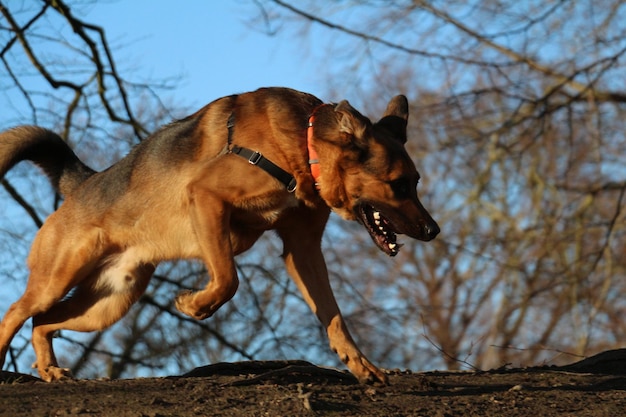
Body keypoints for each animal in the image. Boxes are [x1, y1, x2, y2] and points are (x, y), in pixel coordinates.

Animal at [0, 88, 438, 384]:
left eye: (416, 182)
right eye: (400, 185)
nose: (433, 231)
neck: (304, 144)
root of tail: (83, 184)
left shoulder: (303, 249)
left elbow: (333, 317)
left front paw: (361, 366)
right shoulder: (207, 198)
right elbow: (228, 278)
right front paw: (195, 305)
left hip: (109, 302)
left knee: (42, 322)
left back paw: (49, 370)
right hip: (60, 277)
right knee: (17, 312)